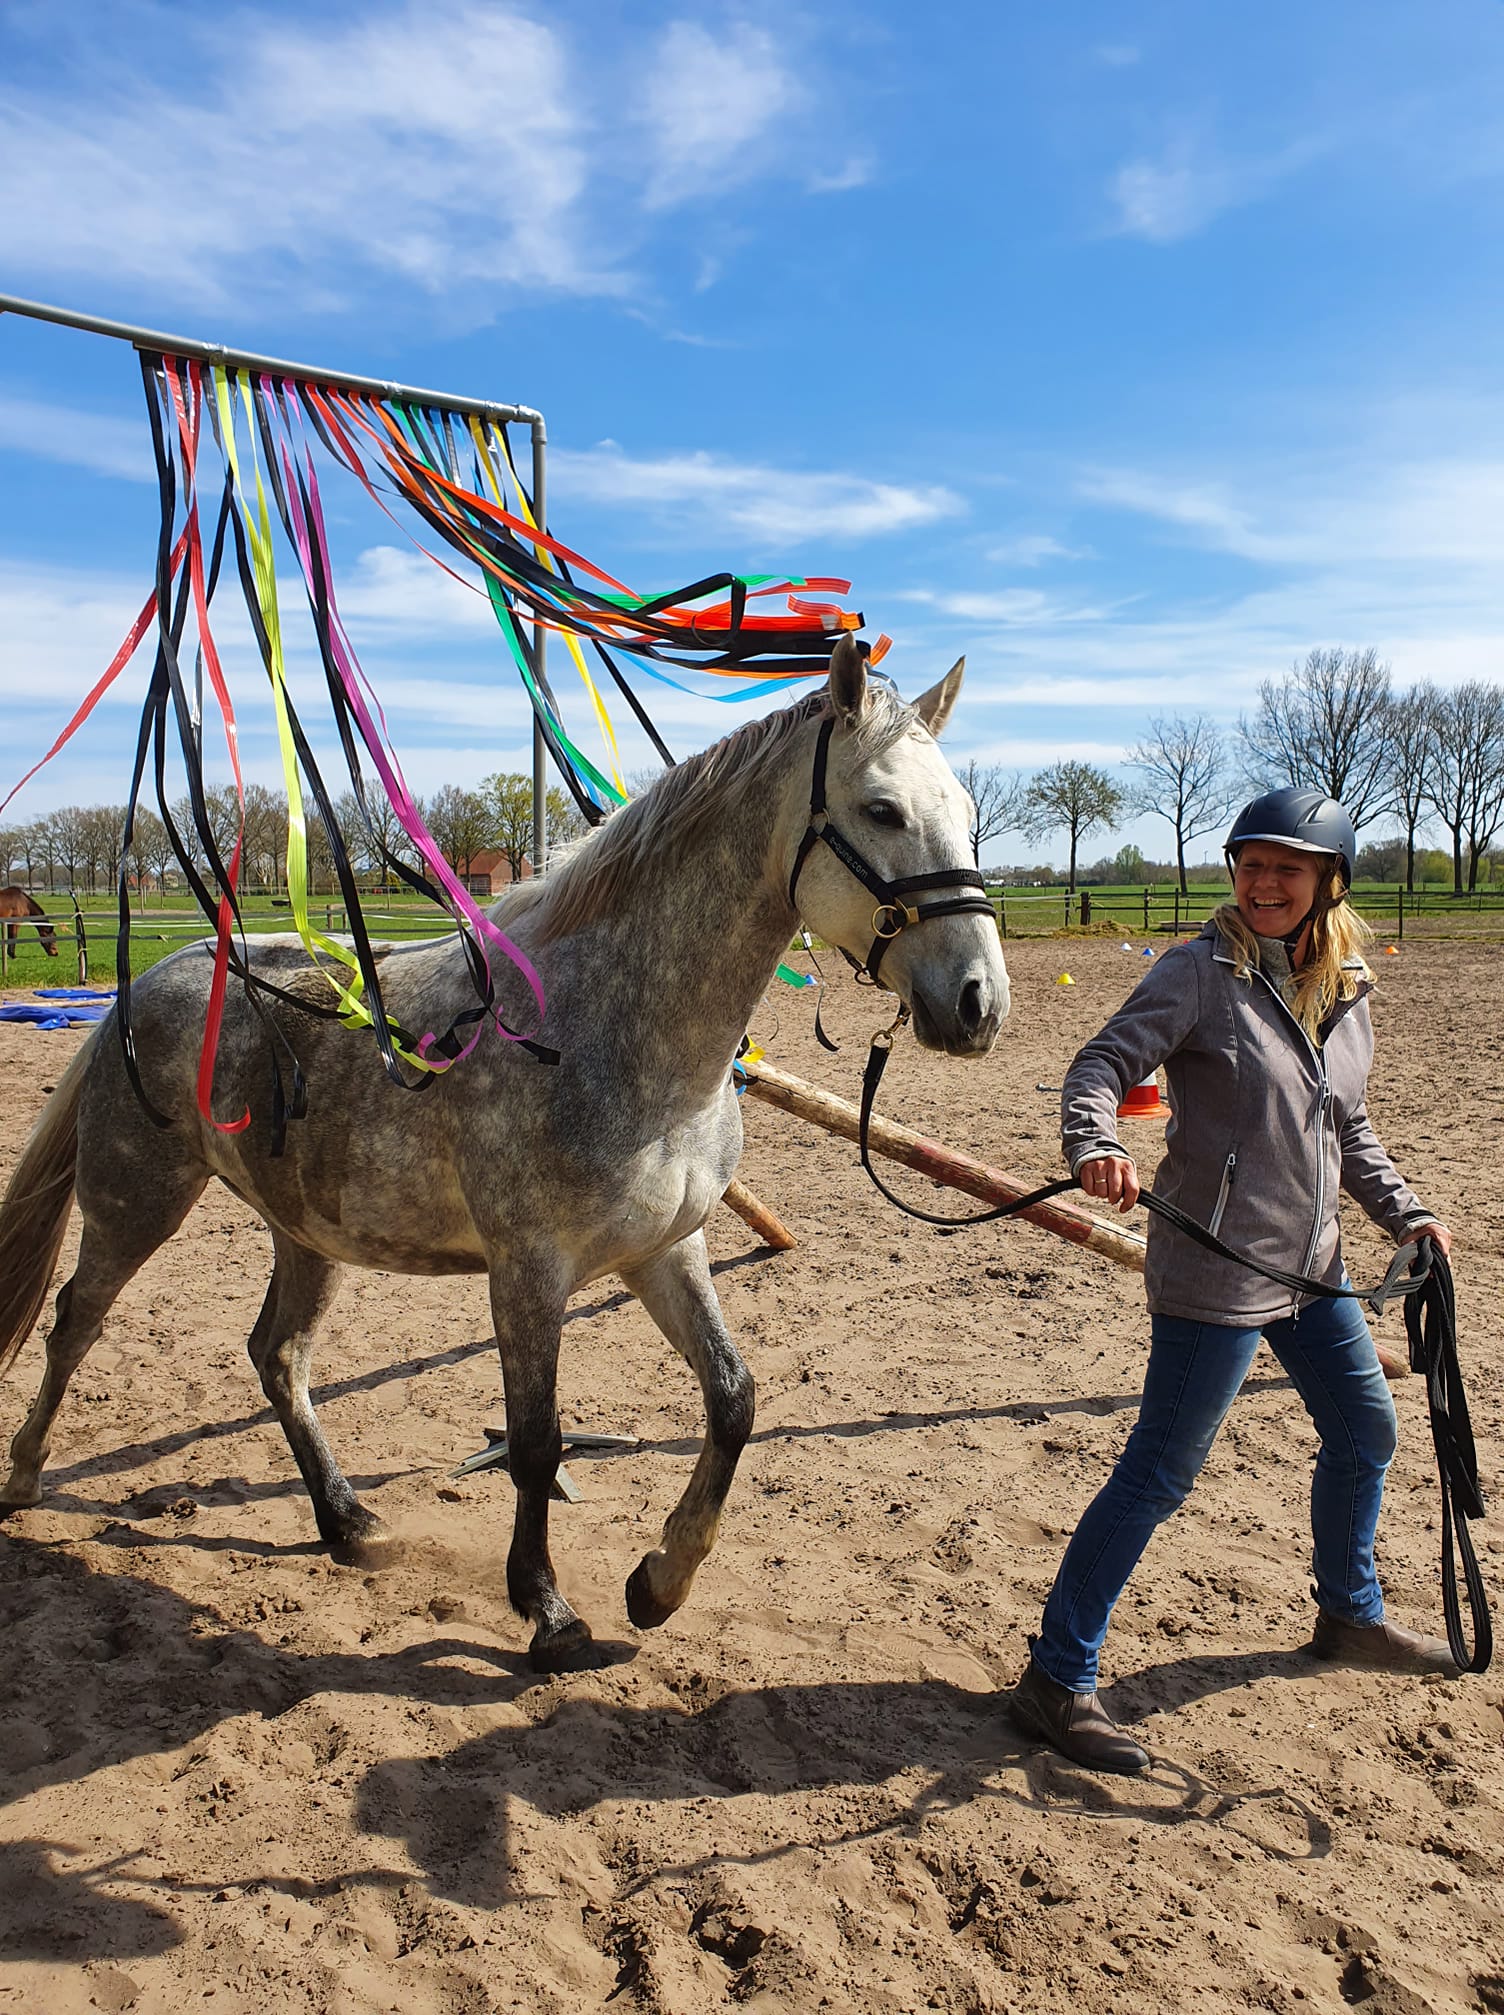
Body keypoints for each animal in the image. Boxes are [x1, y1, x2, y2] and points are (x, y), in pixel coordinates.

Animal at [0, 639, 1009, 1671]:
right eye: (882, 809)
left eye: (966, 814)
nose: (979, 1003)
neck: (612, 1033)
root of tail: (145, 984)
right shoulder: (529, 1270)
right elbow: (535, 1444)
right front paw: (548, 1609)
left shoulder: (665, 1251)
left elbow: (734, 1399)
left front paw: (661, 1581)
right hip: (137, 1200)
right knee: (74, 1322)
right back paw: (25, 1475)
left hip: (307, 1232)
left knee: (278, 1357)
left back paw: (346, 1519)